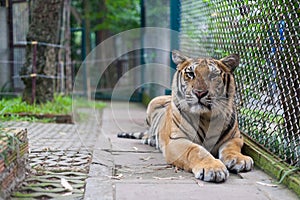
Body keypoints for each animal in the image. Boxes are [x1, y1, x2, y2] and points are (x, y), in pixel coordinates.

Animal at [117, 50, 253, 183]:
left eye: (213, 76)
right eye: (190, 74)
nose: (199, 92)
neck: (206, 117)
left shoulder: (234, 138)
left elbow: (232, 148)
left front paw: (240, 159)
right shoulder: (176, 140)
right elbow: (196, 150)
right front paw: (213, 168)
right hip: (153, 102)